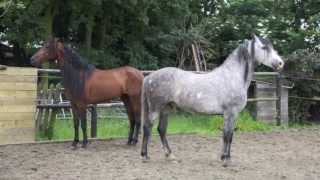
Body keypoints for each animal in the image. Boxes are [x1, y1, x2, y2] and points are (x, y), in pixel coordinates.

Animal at [141, 34, 284, 167]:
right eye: (264, 47)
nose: (280, 63)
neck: (232, 77)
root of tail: (149, 78)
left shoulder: (234, 114)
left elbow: (230, 135)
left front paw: (225, 158)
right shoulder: (230, 113)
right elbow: (227, 135)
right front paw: (226, 160)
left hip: (166, 109)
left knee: (161, 129)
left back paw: (170, 156)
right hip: (155, 109)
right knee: (148, 127)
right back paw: (145, 156)